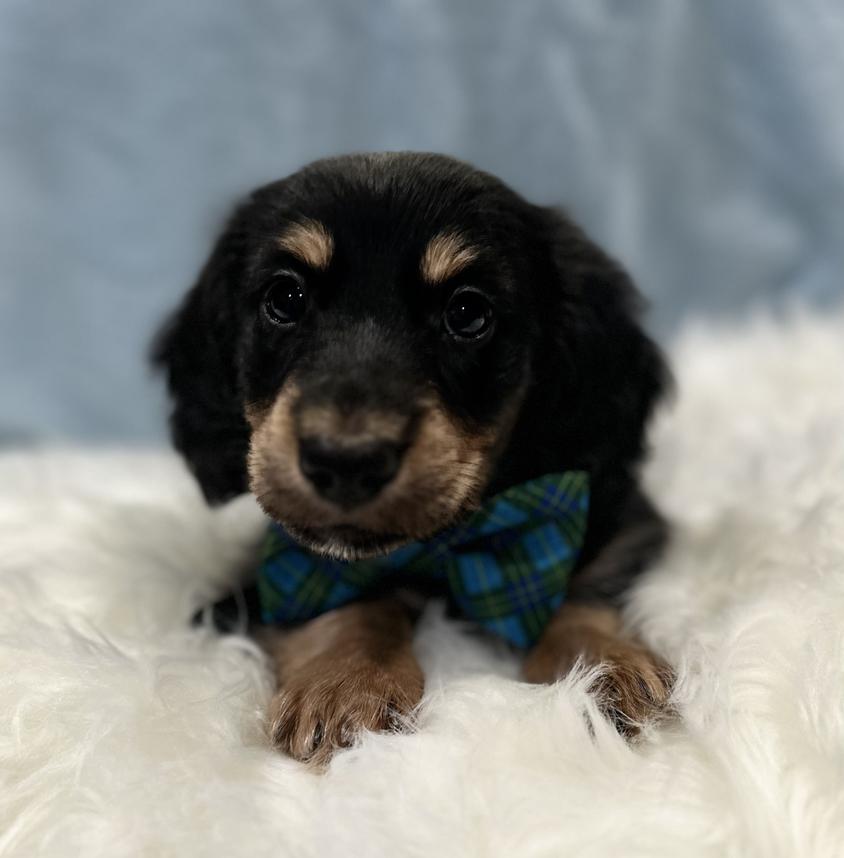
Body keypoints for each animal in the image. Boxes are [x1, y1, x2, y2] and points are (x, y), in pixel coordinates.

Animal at [153, 152, 672, 764]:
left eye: (468, 311)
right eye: (285, 299)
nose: (346, 463)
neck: (440, 550)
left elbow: (578, 588)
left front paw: (606, 667)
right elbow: (356, 599)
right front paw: (345, 684)